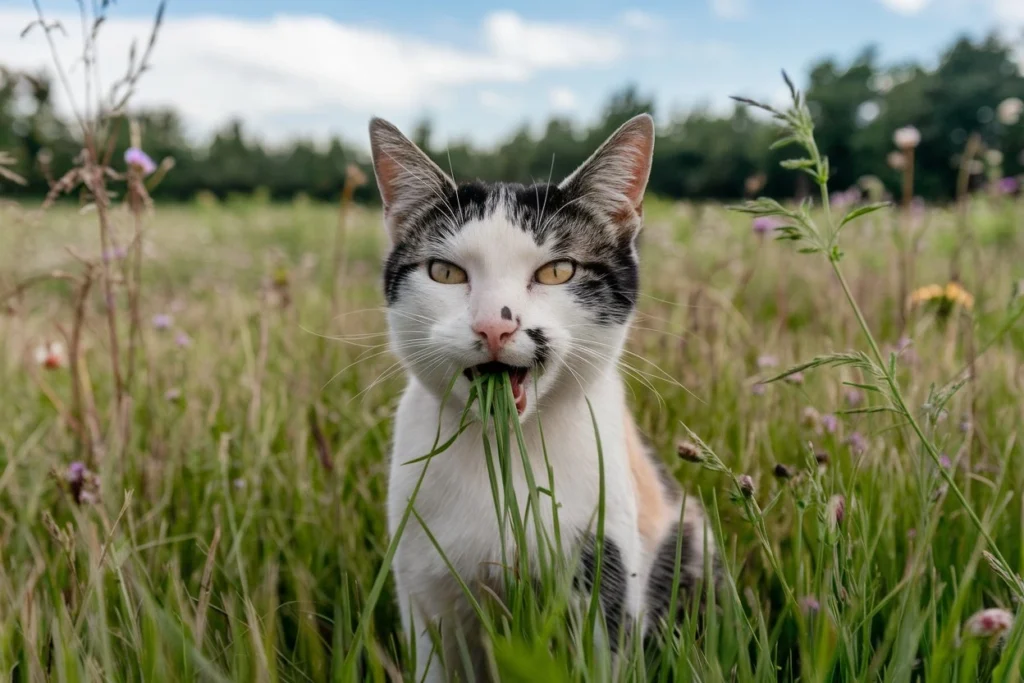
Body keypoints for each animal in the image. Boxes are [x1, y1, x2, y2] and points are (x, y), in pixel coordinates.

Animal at [372, 114, 716, 679]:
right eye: (445, 272)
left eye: (558, 271)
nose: (494, 326)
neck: (503, 461)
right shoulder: (423, 592)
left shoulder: (604, 571)